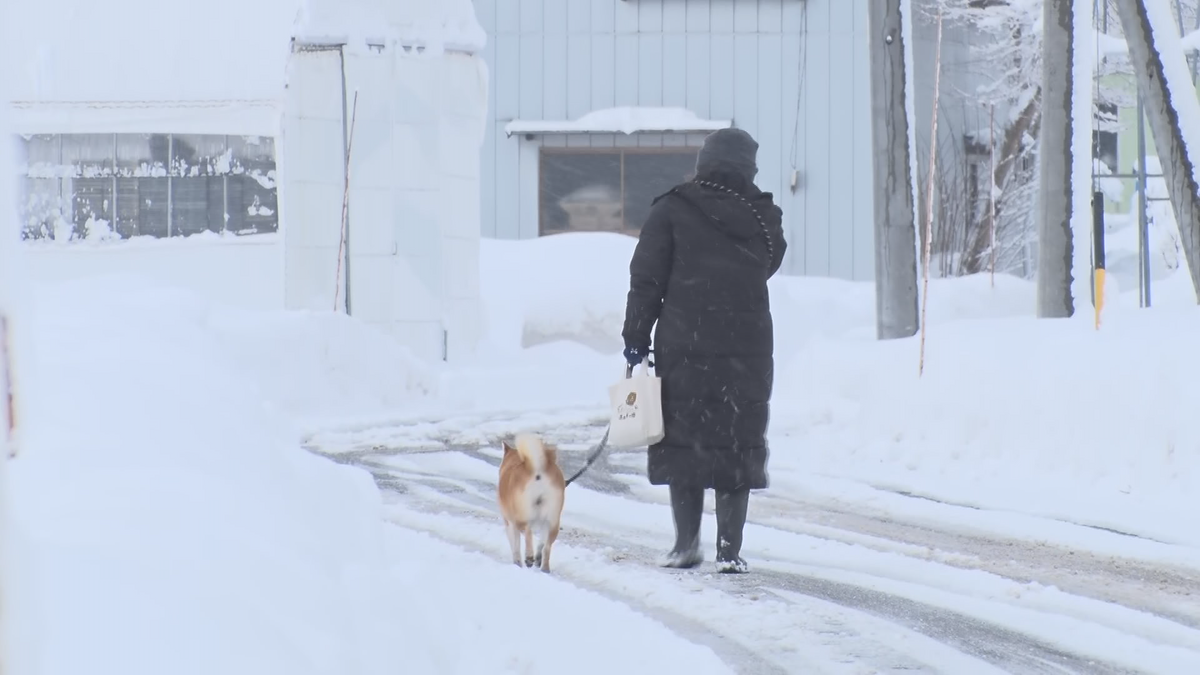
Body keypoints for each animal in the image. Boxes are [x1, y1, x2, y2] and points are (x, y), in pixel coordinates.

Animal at [499, 429, 568, 571]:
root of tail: (537, 468)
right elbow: (541, 542)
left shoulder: (509, 522)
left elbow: (515, 546)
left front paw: (517, 563)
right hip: (553, 521)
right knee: (547, 547)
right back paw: (543, 567)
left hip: (521, 517)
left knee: (528, 532)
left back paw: (529, 557)